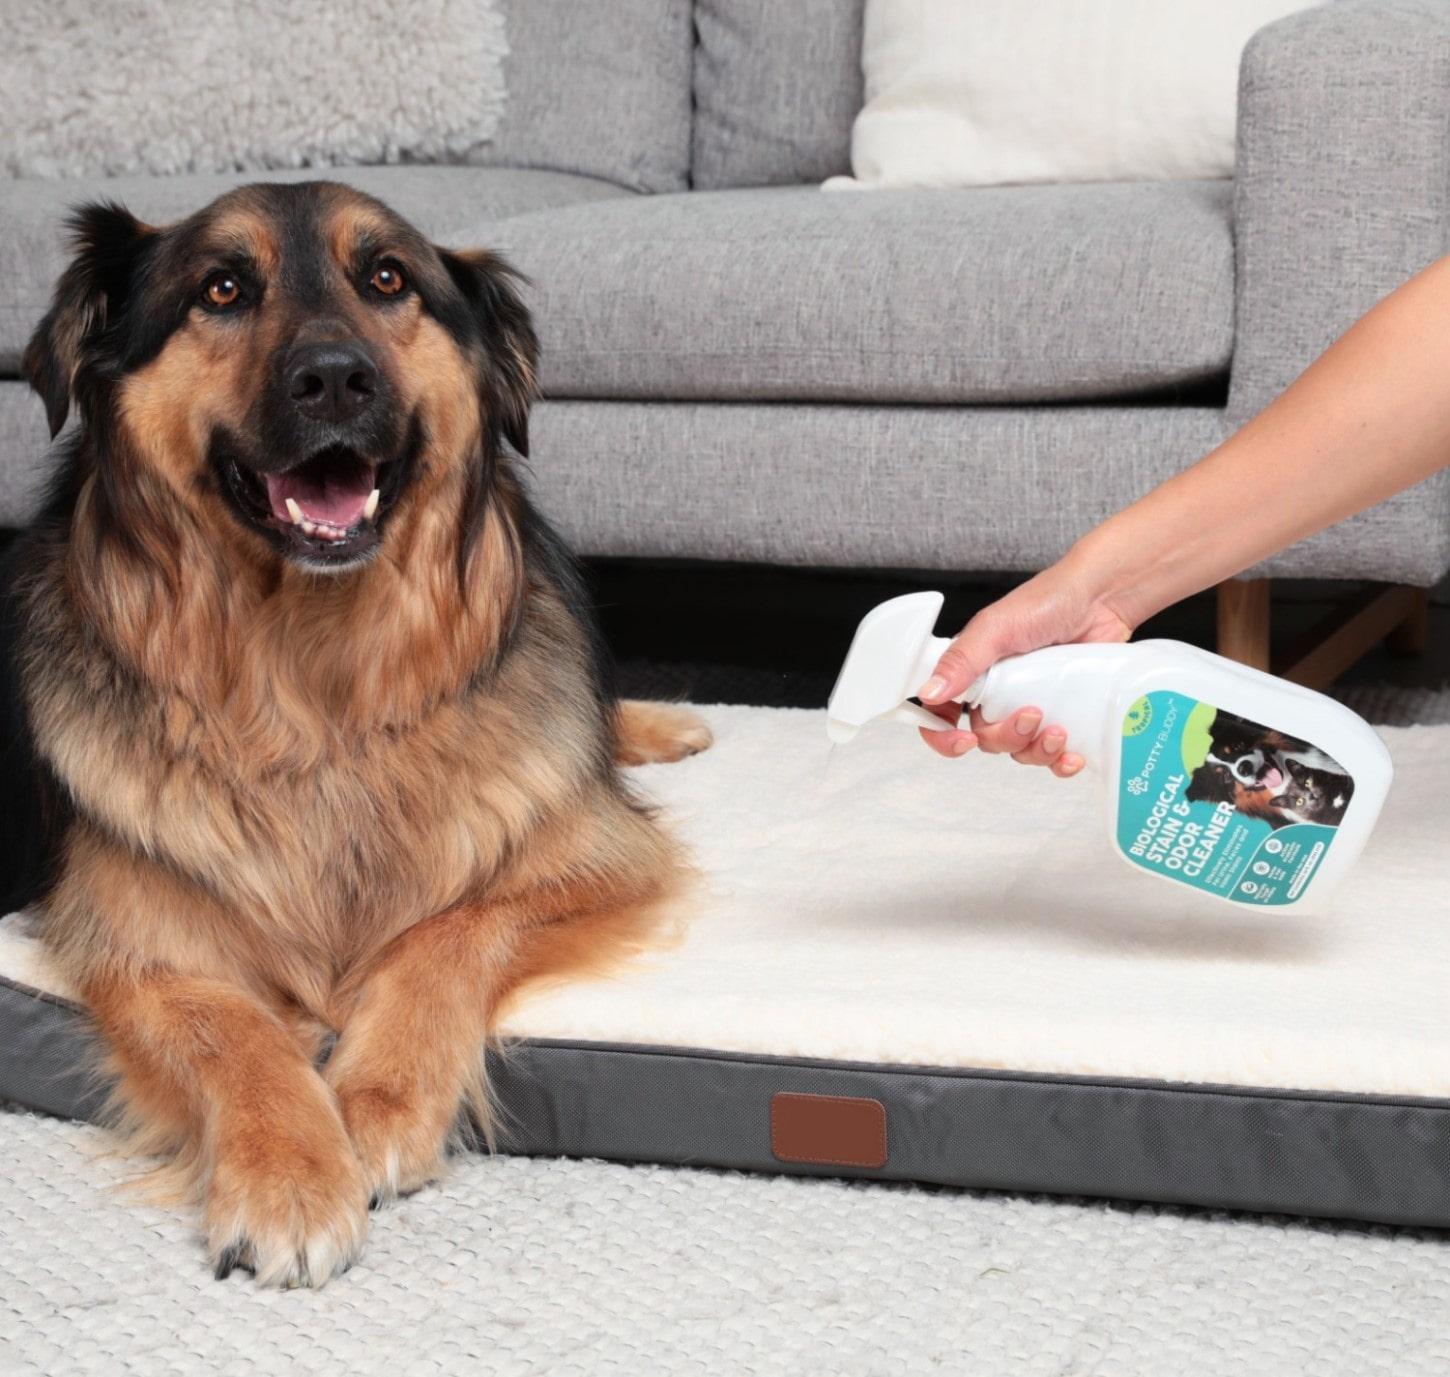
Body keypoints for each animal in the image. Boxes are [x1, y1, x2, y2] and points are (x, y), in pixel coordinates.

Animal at [11, 185, 713, 1292]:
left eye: (388, 278)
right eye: (222, 289)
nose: (336, 379)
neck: (318, 692)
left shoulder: (597, 855)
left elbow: (448, 931)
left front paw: (377, 1103)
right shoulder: (139, 940)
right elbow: (237, 1032)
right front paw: (291, 1175)